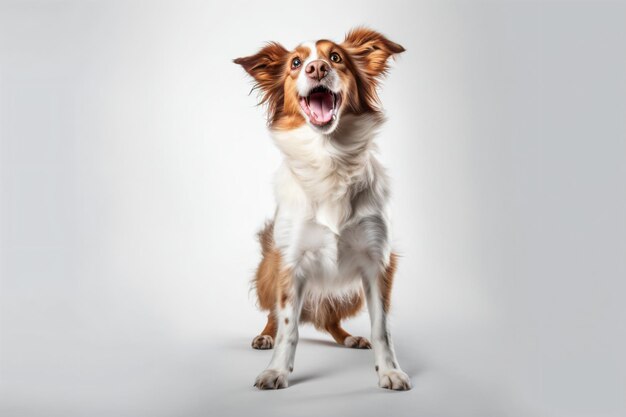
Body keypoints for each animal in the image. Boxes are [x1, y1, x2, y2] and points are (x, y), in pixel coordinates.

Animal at [234, 26, 410, 390]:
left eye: (337, 57)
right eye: (296, 63)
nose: (317, 68)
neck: (330, 158)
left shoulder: (379, 262)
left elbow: (382, 327)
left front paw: (389, 371)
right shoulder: (290, 260)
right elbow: (288, 326)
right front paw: (276, 370)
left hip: (350, 293)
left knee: (330, 319)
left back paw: (349, 337)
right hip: (268, 267)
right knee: (274, 314)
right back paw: (265, 335)